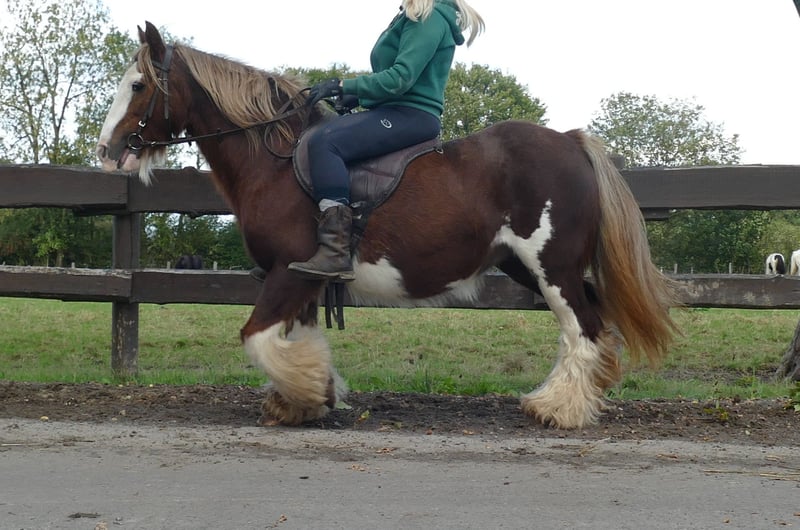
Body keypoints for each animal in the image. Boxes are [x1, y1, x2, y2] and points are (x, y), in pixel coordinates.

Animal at [96, 22, 678, 429]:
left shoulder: (288, 271)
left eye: (139, 85)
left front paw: (308, 392)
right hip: (528, 266)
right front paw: (303, 401)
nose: (106, 150)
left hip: (551, 265)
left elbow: (257, 338)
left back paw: (559, 409)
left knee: (583, 327)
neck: (275, 161)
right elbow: (294, 337)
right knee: (592, 321)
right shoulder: (303, 279)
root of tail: (572, 142)